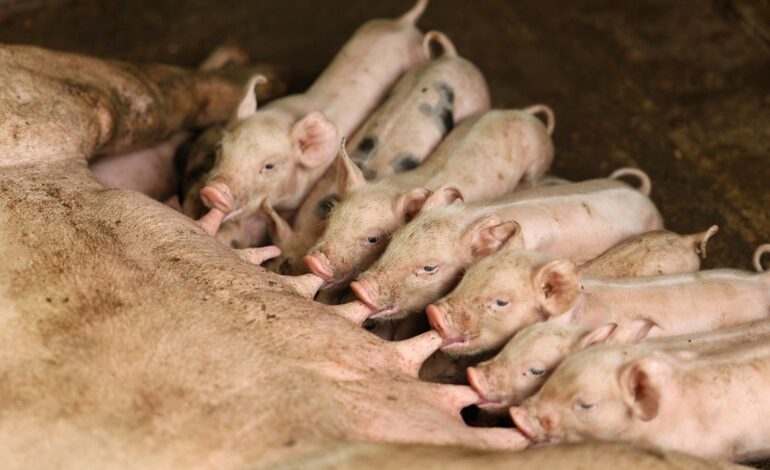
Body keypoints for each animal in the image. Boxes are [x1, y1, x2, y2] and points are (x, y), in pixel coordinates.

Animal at [305, 106, 555, 285]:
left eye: (373, 238)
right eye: (331, 218)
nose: (313, 260)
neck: (394, 185)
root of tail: (523, 113)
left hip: (538, 160)